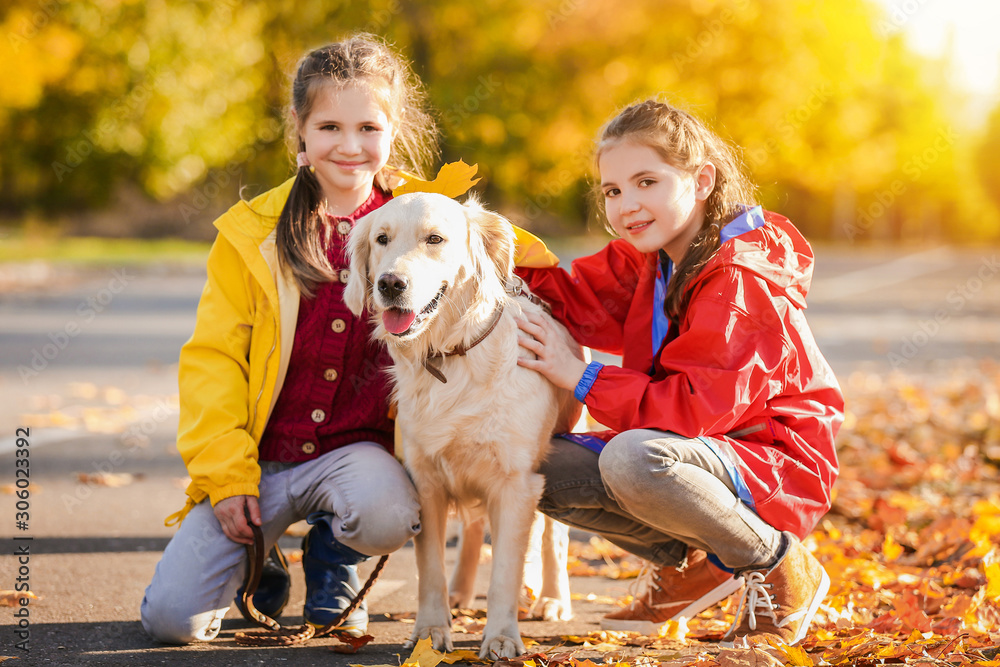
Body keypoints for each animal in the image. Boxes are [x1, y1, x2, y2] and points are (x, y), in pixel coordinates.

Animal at [346, 192, 584, 656]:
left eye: (435, 239)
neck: (450, 356)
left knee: (554, 538)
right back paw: (460, 590)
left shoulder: (516, 481)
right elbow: (430, 568)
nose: (389, 284)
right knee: (473, 530)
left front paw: (502, 637)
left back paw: (553, 598)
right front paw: (429, 632)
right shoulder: (424, 480)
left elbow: (506, 570)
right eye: (382, 239)